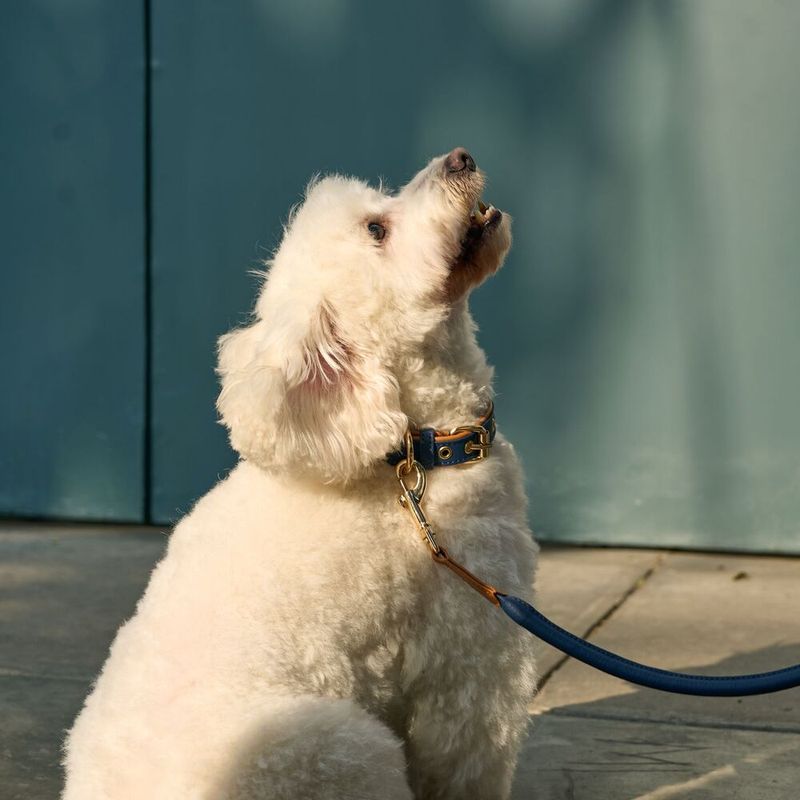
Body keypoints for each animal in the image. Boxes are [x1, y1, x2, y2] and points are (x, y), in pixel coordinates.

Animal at [62, 148, 538, 800]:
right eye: (377, 229)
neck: (418, 454)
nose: (460, 158)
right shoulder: (469, 650)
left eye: (380, 205)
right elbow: (467, 757)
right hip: (344, 746)